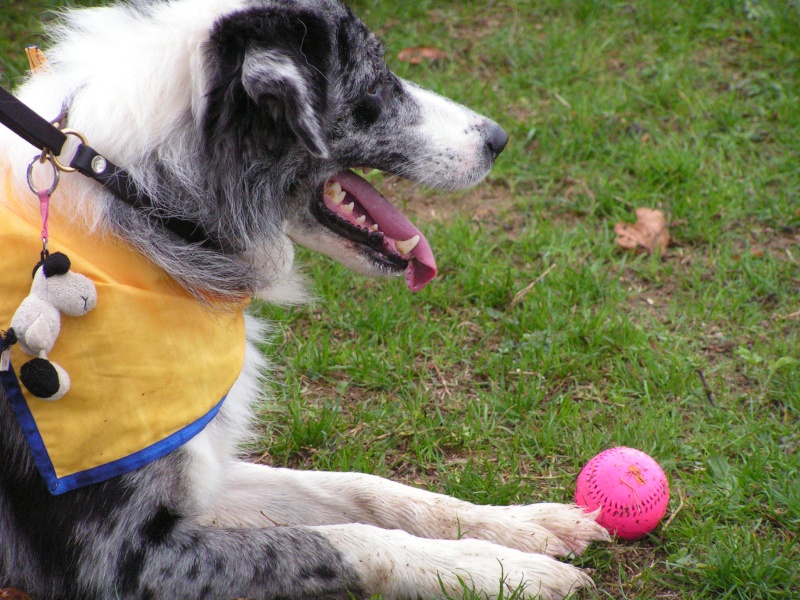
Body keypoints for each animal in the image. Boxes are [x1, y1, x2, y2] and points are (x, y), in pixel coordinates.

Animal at [0, 1, 608, 600]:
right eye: (373, 84)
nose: (499, 138)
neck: (135, 196)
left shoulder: (198, 465)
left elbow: (357, 488)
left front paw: (518, 523)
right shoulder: (115, 561)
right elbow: (348, 540)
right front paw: (496, 568)